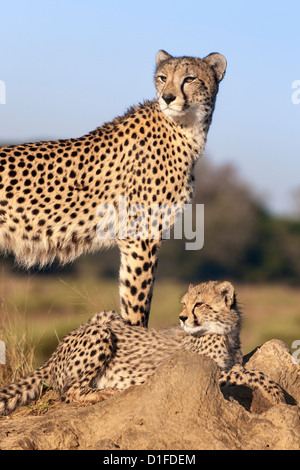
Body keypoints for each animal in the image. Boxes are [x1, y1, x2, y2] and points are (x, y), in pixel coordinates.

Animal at [0, 49, 226, 324]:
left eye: (190, 79)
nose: (167, 97)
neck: (186, 128)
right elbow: (137, 301)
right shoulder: (139, 235)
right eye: (163, 78)